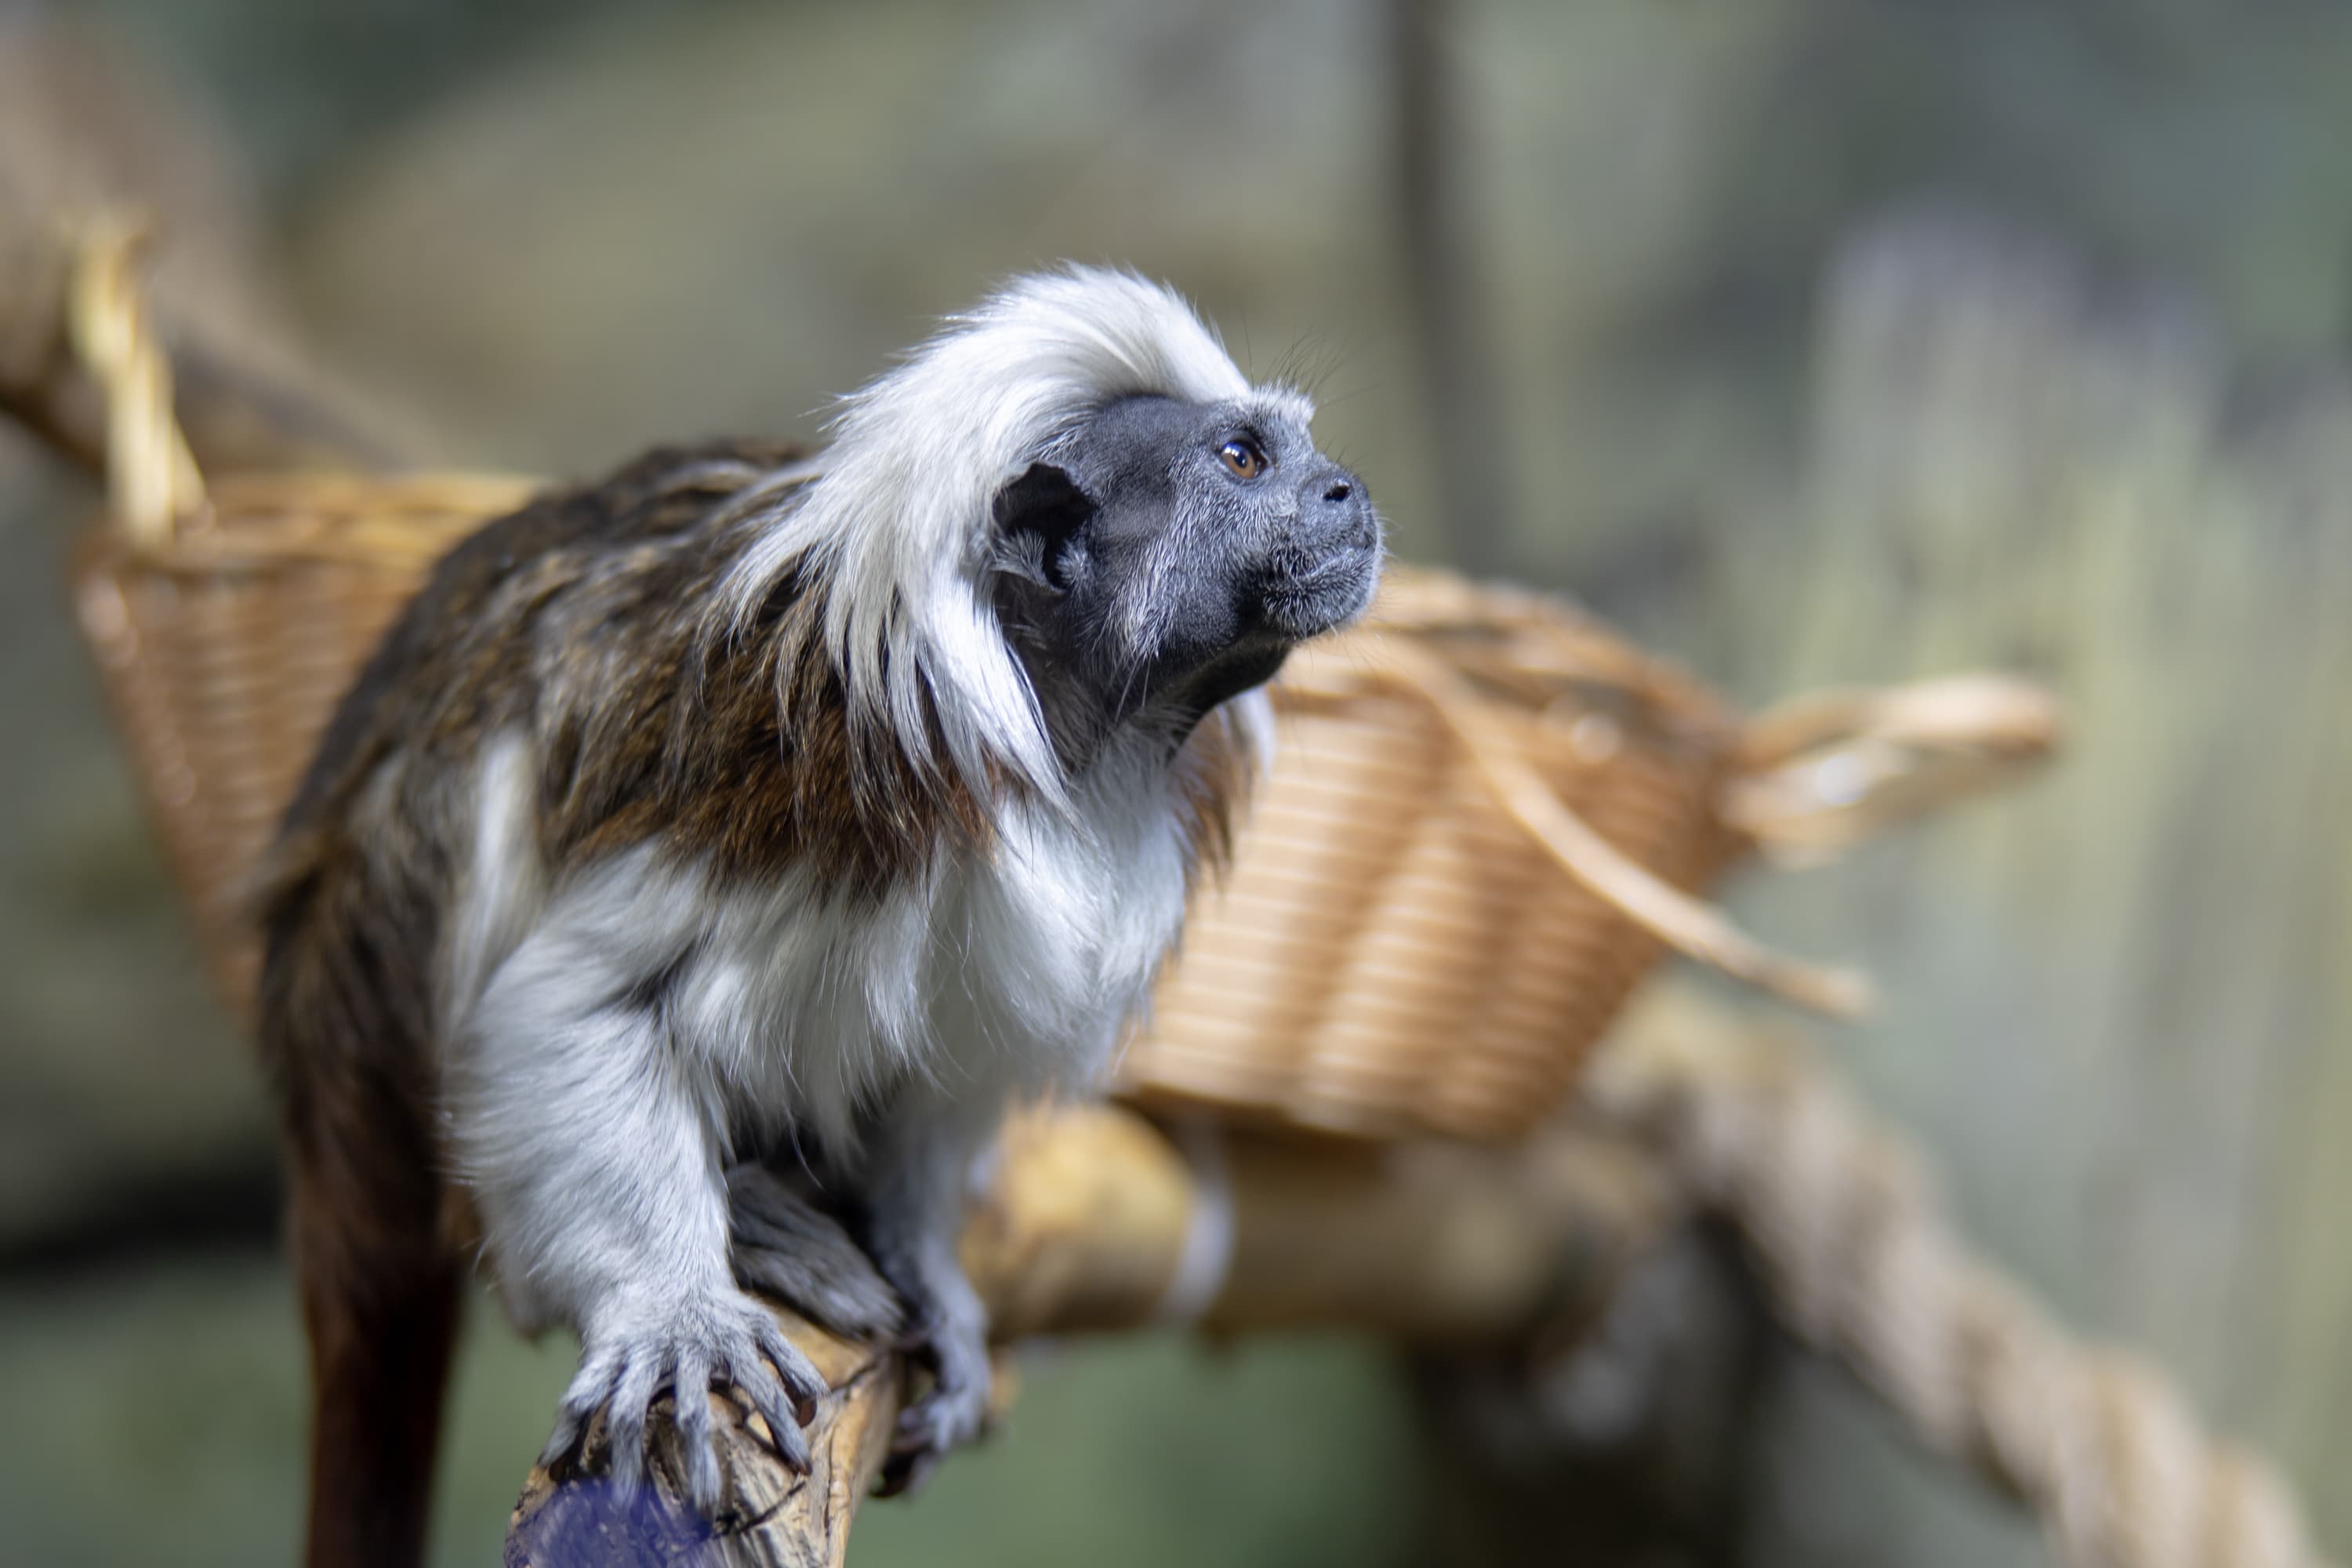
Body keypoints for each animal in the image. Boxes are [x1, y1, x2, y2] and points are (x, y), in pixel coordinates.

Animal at [253, 267, 1381, 1565]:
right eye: (1243, 460)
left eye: (1301, 451)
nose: (1347, 489)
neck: (1069, 734)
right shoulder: (791, 778)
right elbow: (577, 1000)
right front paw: (676, 1310)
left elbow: (946, 1071)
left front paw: (925, 1267)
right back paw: (746, 1220)